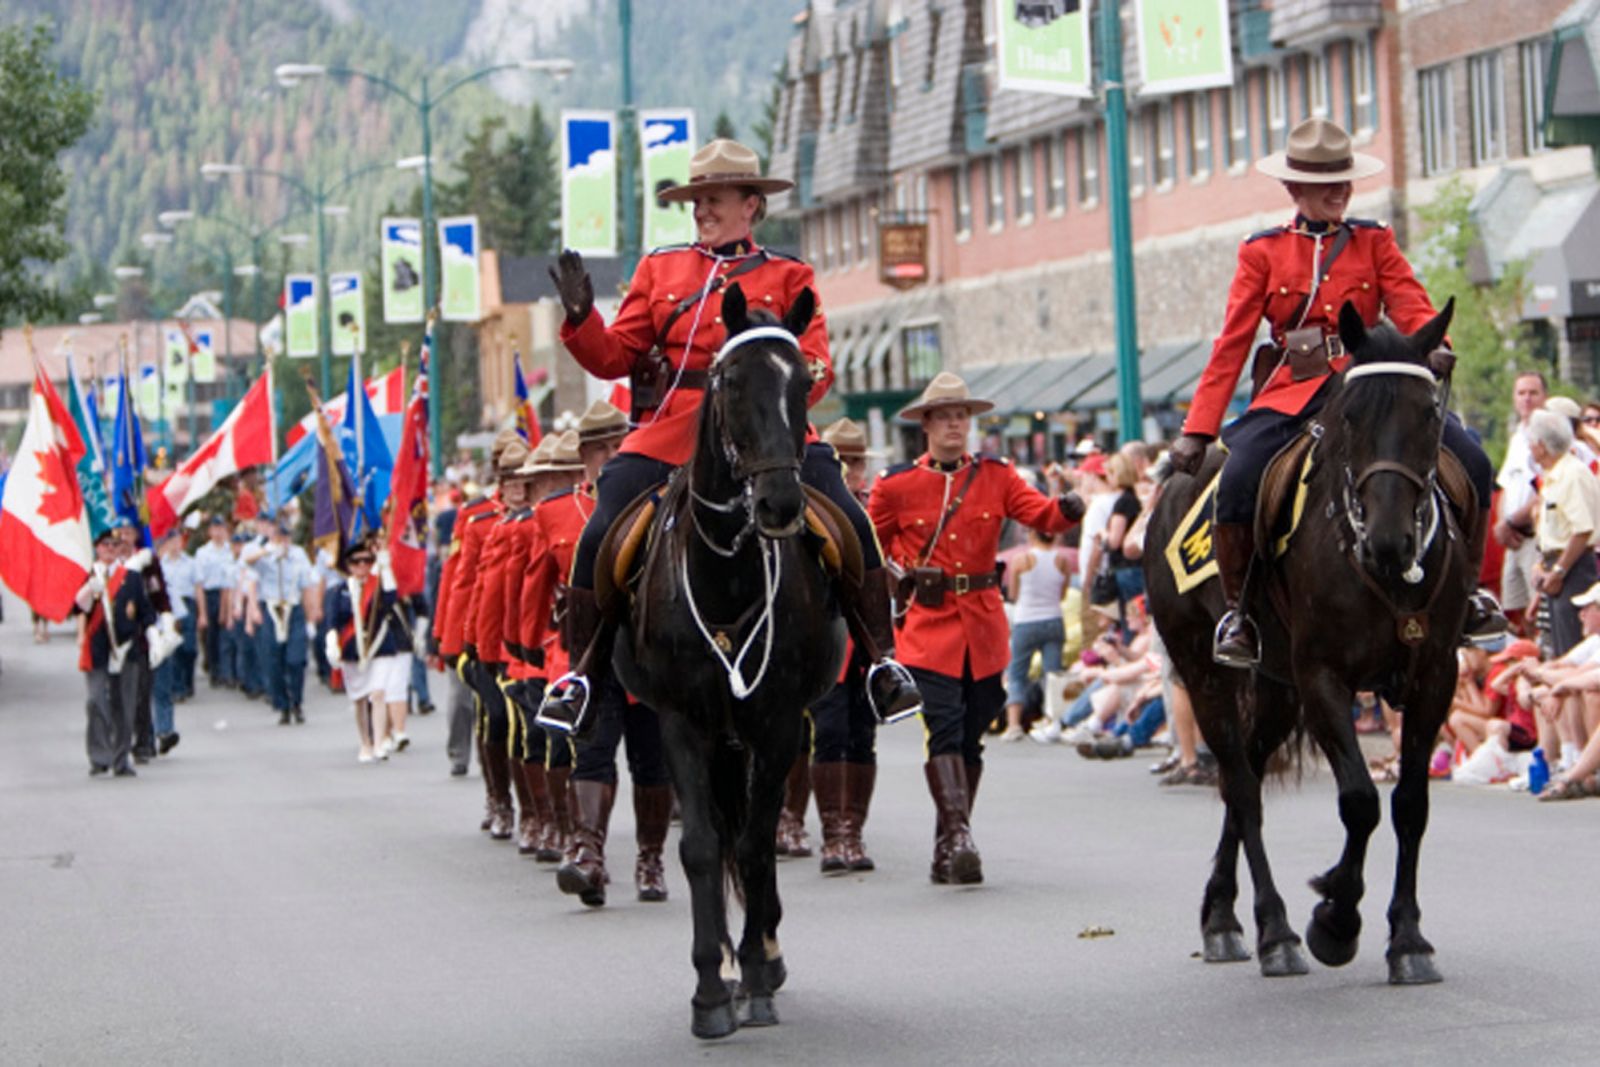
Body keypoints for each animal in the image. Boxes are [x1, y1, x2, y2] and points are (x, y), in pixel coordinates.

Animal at [608, 281, 851, 1036]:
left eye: (804, 381)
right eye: (733, 381)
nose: (778, 504)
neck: (727, 573)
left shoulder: (776, 721)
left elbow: (753, 842)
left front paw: (756, 976)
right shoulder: (681, 720)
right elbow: (701, 846)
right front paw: (710, 988)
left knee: (752, 837)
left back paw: (763, 955)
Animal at [1145, 299, 1465, 985]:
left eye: (1428, 414)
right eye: (1350, 413)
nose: (1391, 543)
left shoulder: (1435, 676)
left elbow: (1411, 805)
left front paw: (1407, 939)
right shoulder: (1324, 678)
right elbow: (1360, 801)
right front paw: (1335, 919)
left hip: (1275, 687)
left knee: (1245, 776)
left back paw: (1222, 914)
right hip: (1204, 668)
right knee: (1241, 787)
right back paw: (1274, 931)